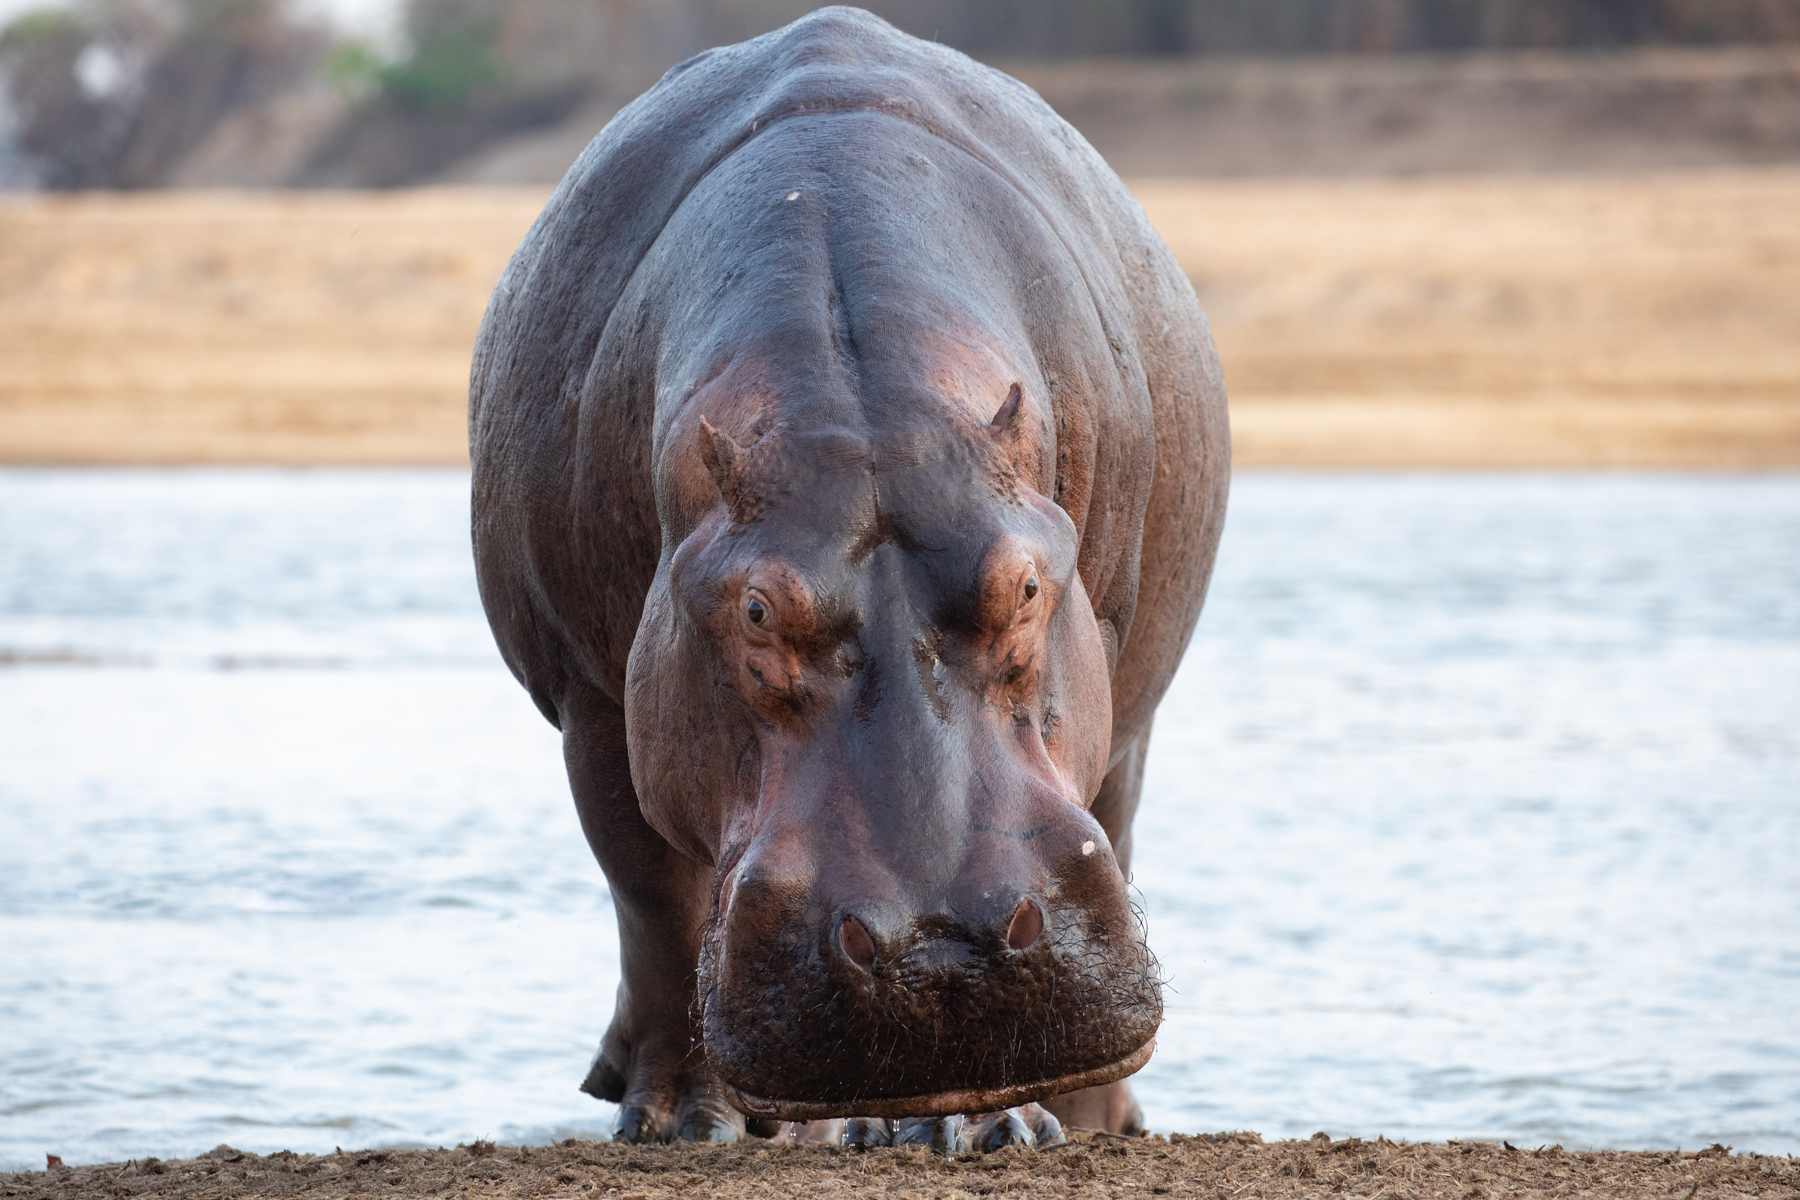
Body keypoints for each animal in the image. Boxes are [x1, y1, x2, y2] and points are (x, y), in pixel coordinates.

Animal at [469, 6, 1228, 1149]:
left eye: (1026, 589)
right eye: (755, 608)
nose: (939, 943)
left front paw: (997, 1126)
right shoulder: (594, 698)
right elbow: (654, 904)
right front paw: (679, 1120)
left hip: (1133, 706)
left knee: (1123, 821)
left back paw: (1076, 1121)